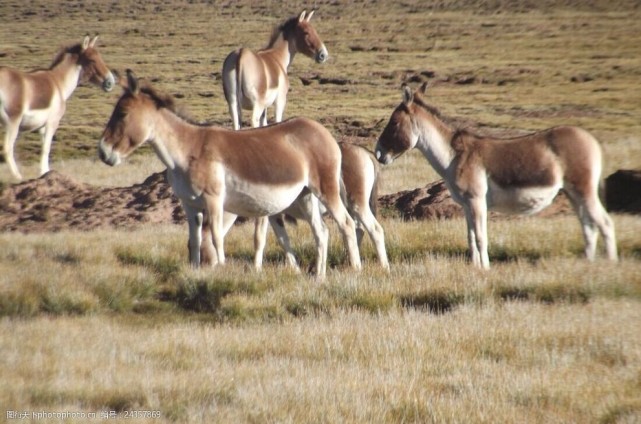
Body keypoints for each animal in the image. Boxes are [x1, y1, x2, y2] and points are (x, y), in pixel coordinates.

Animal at [0, 36, 115, 181]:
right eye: (92, 59)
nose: (110, 82)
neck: (58, 81)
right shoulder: (52, 123)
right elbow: (46, 149)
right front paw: (45, 172)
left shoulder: (42, 127)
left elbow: (44, 147)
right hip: (13, 123)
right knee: (8, 148)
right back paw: (18, 177)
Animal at [98, 72, 362, 278]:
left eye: (122, 113)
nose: (103, 152)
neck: (188, 150)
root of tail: (324, 133)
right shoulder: (190, 205)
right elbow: (195, 240)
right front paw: (196, 273)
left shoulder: (214, 201)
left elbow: (216, 237)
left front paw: (222, 270)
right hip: (305, 196)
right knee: (322, 232)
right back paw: (319, 277)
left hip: (326, 191)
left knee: (347, 224)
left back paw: (355, 270)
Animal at [376, 83, 616, 268]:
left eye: (394, 122)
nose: (378, 153)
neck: (454, 156)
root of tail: (591, 140)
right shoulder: (466, 205)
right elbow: (471, 238)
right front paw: (475, 269)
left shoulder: (476, 201)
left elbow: (481, 238)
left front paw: (486, 270)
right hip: (572, 193)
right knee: (588, 226)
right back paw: (589, 263)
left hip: (584, 190)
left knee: (605, 223)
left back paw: (610, 265)